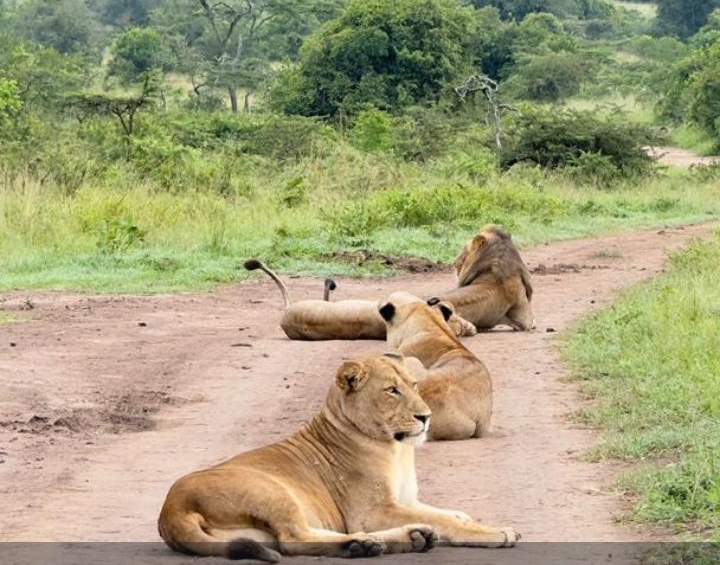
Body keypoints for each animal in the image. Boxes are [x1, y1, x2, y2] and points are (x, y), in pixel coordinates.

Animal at [158, 354, 519, 561]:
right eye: (392, 390)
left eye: (414, 384)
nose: (426, 417)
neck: (397, 449)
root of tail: (171, 509)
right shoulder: (372, 512)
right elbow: (449, 521)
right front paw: (497, 532)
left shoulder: (406, 501)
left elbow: (455, 514)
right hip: (272, 491)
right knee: (293, 540)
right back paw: (376, 544)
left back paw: (404, 539)